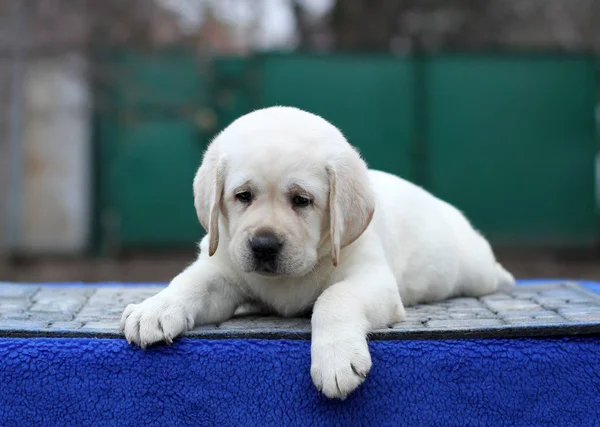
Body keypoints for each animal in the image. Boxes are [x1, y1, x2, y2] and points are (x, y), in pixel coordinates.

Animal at [122, 107, 516, 402]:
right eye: (243, 196)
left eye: (302, 200)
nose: (263, 245)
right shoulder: (222, 267)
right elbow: (190, 281)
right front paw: (155, 308)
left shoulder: (371, 278)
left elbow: (334, 297)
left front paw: (337, 361)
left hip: (473, 269)